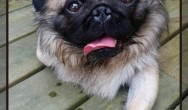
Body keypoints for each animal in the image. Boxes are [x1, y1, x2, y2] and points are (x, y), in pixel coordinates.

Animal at [32, 0, 167, 109]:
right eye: (74, 6)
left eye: (127, 0)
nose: (101, 11)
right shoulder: (45, 52)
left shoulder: (145, 69)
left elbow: (138, 104)